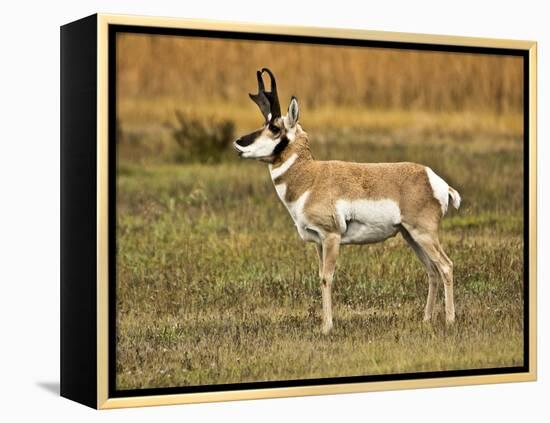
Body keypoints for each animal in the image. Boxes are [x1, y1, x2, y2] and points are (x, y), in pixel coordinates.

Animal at [235, 68, 464, 334]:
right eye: (264, 123)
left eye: (273, 127)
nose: (238, 142)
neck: (311, 177)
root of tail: (434, 179)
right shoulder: (318, 242)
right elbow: (320, 277)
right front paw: (323, 324)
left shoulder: (331, 236)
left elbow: (327, 277)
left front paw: (327, 327)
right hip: (410, 236)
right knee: (432, 270)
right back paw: (426, 320)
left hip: (423, 234)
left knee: (446, 266)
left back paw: (450, 320)